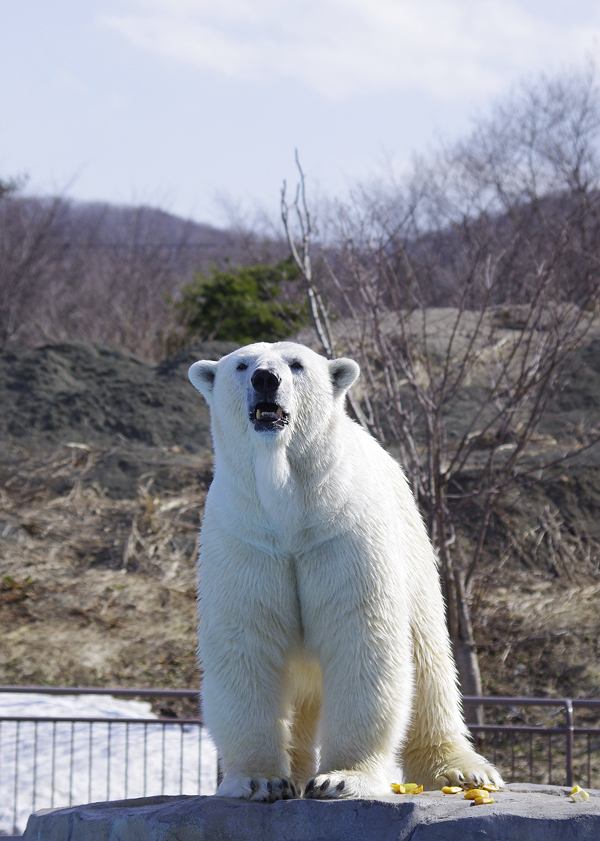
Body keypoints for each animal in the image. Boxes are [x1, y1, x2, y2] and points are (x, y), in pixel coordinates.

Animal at [189, 342, 502, 800]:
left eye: (297, 364)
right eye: (242, 365)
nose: (266, 379)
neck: (287, 509)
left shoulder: (344, 533)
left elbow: (361, 637)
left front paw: (341, 778)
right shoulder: (247, 540)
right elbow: (245, 643)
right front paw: (258, 779)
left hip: (413, 548)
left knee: (429, 661)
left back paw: (461, 770)